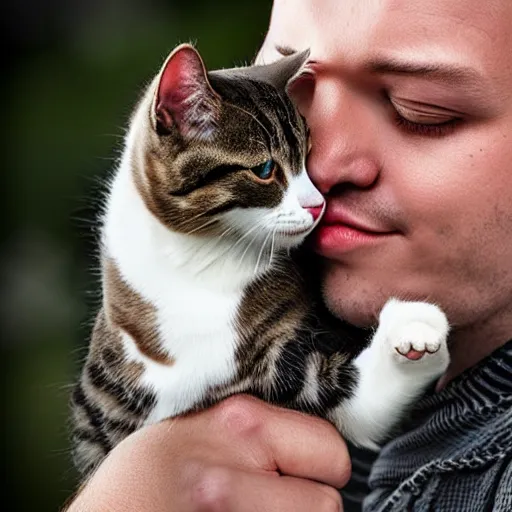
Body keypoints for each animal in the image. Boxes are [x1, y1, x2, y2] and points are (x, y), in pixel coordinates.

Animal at [70, 44, 450, 480]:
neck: (196, 263)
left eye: (307, 156)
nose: (318, 205)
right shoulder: (101, 406)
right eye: (265, 170)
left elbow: (362, 405)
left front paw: (415, 326)